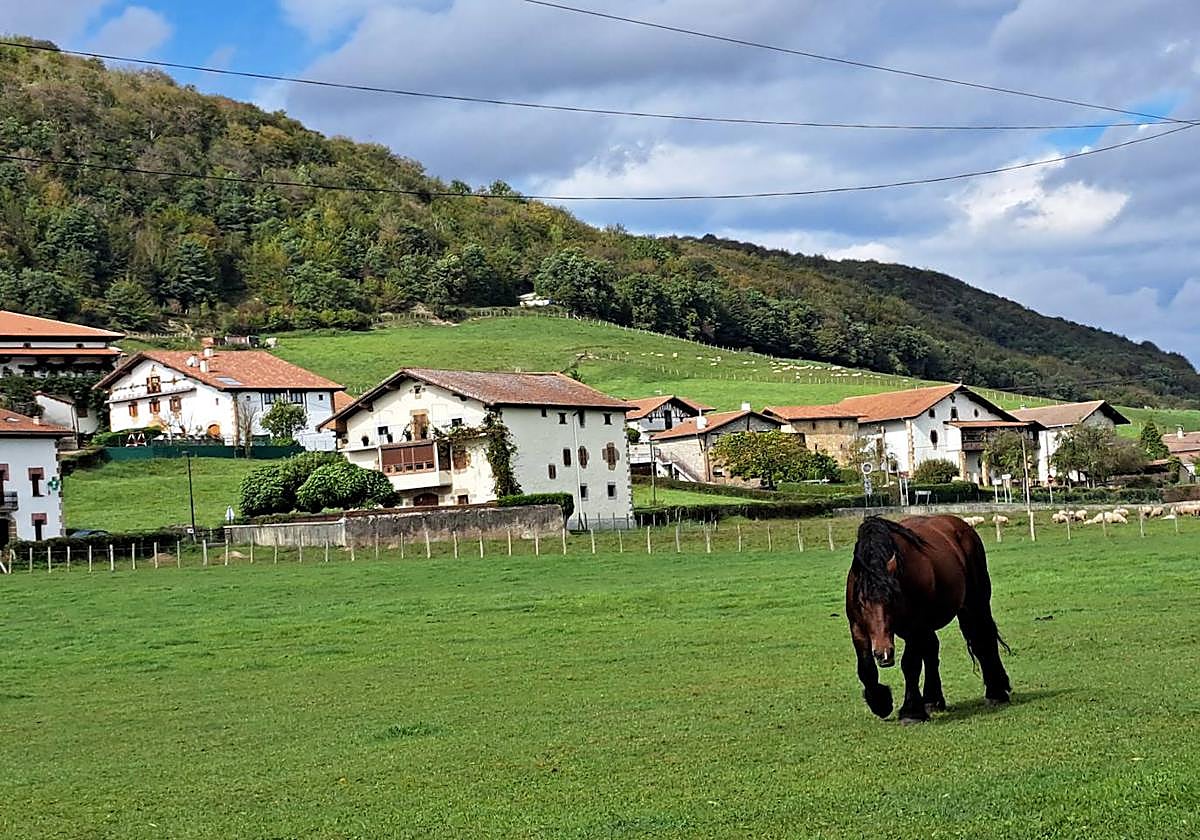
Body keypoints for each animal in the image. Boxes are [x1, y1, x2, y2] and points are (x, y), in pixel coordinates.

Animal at [846, 515, 1011, 723]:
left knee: (982, 639)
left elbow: (910, 664)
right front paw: (880, 703)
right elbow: (866, 668)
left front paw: (911, 712)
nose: (883, 653)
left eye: (892, 598)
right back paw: (933, 700)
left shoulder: (915, 627)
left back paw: (996, 693)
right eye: (861, 602)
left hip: (975, 604)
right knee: (932, 650)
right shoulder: (858, 628)